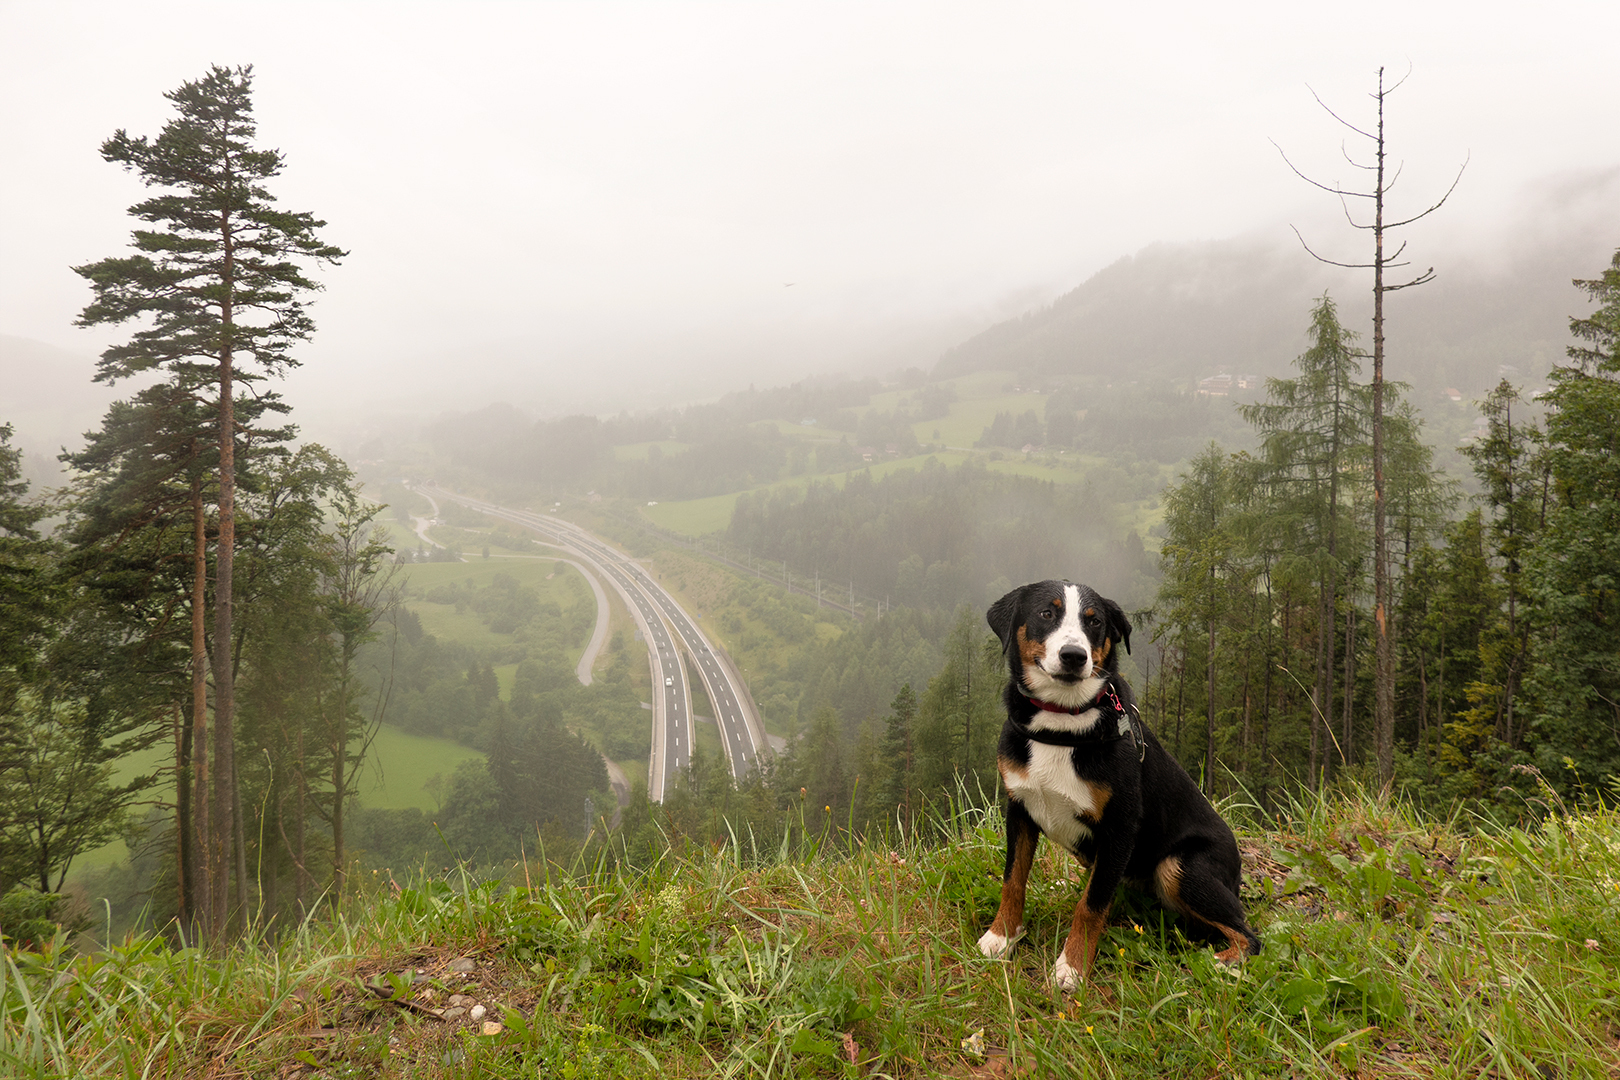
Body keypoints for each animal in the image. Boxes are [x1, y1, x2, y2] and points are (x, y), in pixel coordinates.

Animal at [977, 580, 1260, 991]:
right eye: (1047, 613)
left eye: (1094, 622)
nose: (1074, 655)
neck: (1062, 723)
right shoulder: (1020, 808)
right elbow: (1013, 879)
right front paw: (1001, 937)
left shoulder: (1119, 827)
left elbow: (1091, 905)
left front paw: (1072, 966)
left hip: (1179, 866)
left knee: (1249, 935)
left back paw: (1218, 963)